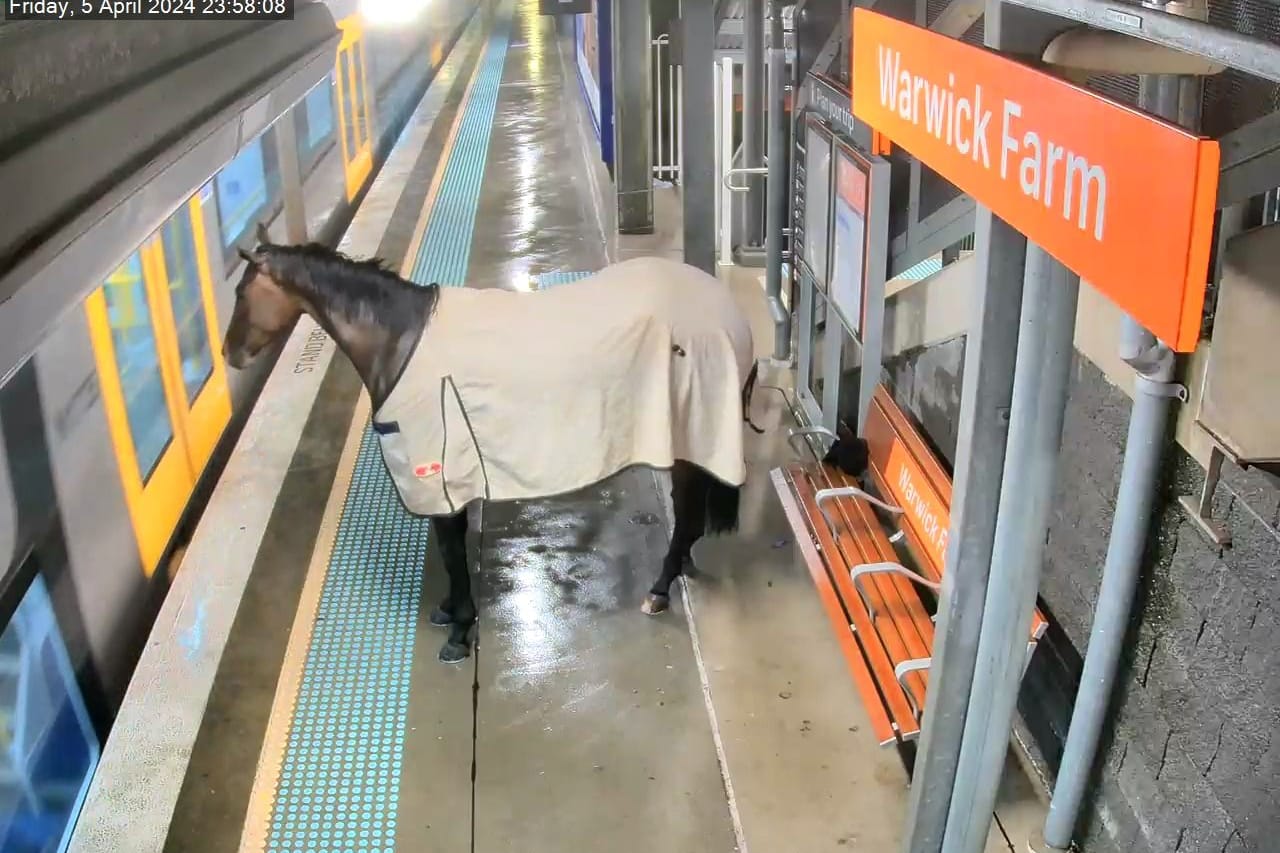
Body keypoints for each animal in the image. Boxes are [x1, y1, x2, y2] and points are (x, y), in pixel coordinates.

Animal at [222, 224, 757, 666]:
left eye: (241, 291)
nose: (230, 355)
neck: (401, 342)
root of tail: (730, 313)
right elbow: (454, 550)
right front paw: (449, 612)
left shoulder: (437, 479)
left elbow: (452, 554)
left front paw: (459, 632)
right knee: (690, 516)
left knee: (687, 514)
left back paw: (659, 589)